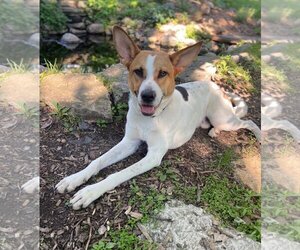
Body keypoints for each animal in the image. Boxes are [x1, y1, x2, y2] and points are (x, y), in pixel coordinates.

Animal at [55, 25, 262, 209]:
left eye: (163, 73)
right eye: (138, 71)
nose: (148, 96)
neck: (150, 119)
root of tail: (216, 86)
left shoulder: (154, 154)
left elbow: (118, 174)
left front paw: (90, 191)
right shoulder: (129, 142)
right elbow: (97, 161)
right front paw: (74, 178)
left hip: (224, 118)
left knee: (248, 121)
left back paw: (259, 135)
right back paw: (213, 131)